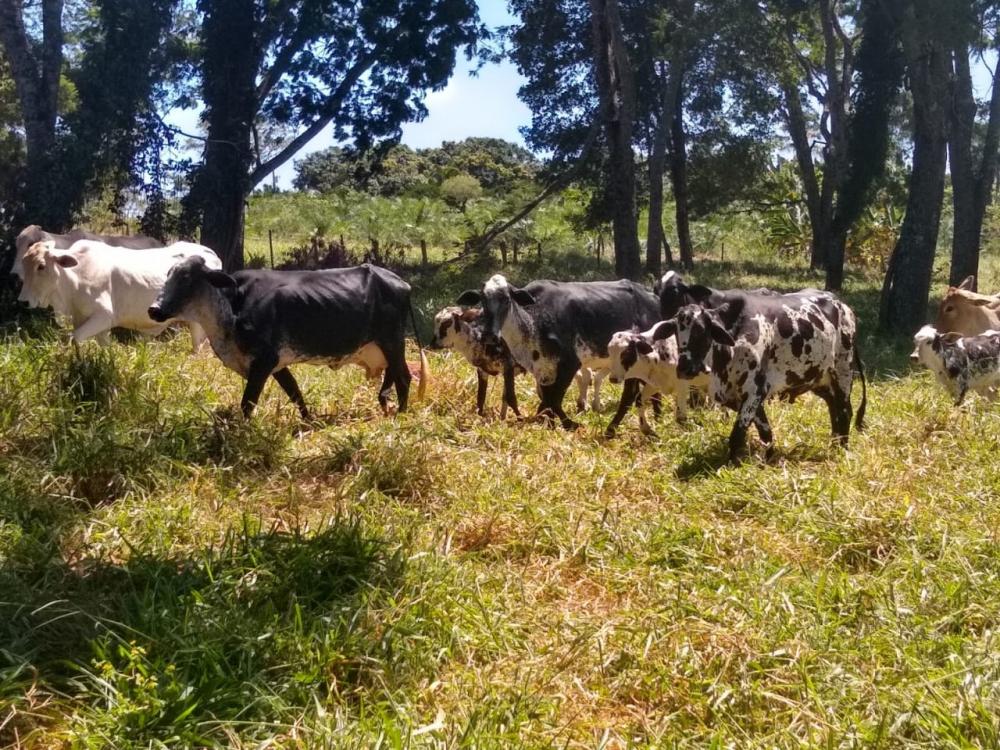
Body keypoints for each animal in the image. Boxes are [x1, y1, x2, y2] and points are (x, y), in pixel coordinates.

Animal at [17, 239, 221, 352]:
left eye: (41, 266)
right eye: (24, 264)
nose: (23, 302)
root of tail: (211, 254)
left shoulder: (104, 316)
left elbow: (72, 338)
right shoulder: (87, 321)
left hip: (198, 321)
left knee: (197, 348)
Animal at [148, 258, 426, 420]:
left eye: (186, 278)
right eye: (168, 275)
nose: (154, 309)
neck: (231, 304)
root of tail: (403, 284)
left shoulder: (264, 361)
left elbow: (247, 404)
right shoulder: (277, 365)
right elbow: (295, 393)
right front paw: (309, 420)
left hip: (392, 342)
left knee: (404, 377)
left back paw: (402, 415)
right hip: (386, 347)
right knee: (391, 378)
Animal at [456, 274, 660, 428]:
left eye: (506, 299)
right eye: (482, 300)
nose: (490, 335)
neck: (534, 319)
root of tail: (653, 297)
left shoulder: (569, 364)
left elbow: (553, 400)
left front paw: (570, 424)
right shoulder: (541, 369)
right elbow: (546, 399)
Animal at [656, 290, 868, 462]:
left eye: (701, 331)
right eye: (676, 331)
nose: (684, 368)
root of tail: (843, 305)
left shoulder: (754, 391)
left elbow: (737, 434)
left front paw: (732, 463)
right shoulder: (743, 397)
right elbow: (765, 431)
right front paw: (769, 457)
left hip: (842, 373)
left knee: (844, 411)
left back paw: (841, 448)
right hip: (820, 380)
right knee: (833, 408)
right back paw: (835, 443)